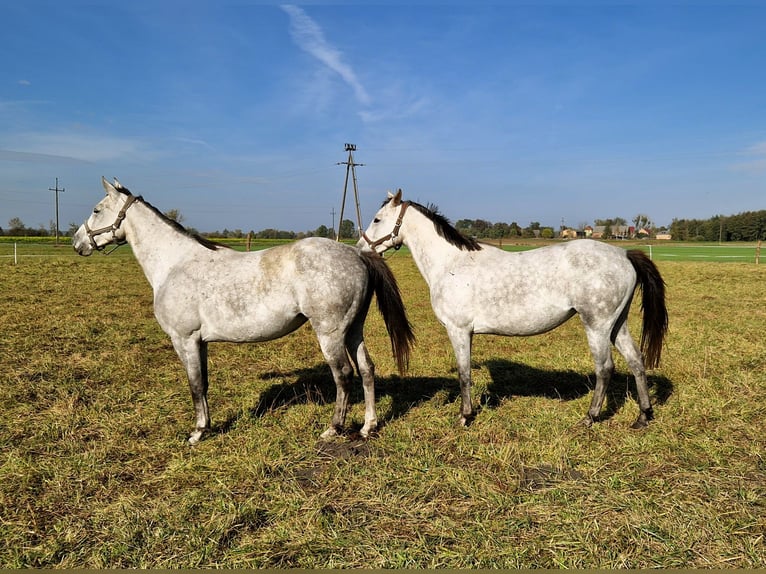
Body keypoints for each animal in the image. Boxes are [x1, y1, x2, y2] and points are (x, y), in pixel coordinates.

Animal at [73, 179, 414, 446]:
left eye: (96, 210)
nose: (78, 242)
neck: (174, 263)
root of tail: (357, 254)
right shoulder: (199, 342)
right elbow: (204, 383)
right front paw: (207, 426)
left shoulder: (184, 340)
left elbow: (194, 385)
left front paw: (197, 433)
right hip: (352, 329)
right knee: (367, 370)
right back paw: (368, 426)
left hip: (330, 332)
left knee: (343, 374)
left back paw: (333, 428)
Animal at [360, 191, 664, 430]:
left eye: (377, 219)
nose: (362, 247)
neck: (452, 263)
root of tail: (624, 255)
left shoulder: (458, 330)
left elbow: (464, 374)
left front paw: (464, 417)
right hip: (617, 324)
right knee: (636, 361)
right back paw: (643, 416)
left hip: (597, 325)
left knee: (605, 369)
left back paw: (589, 418)